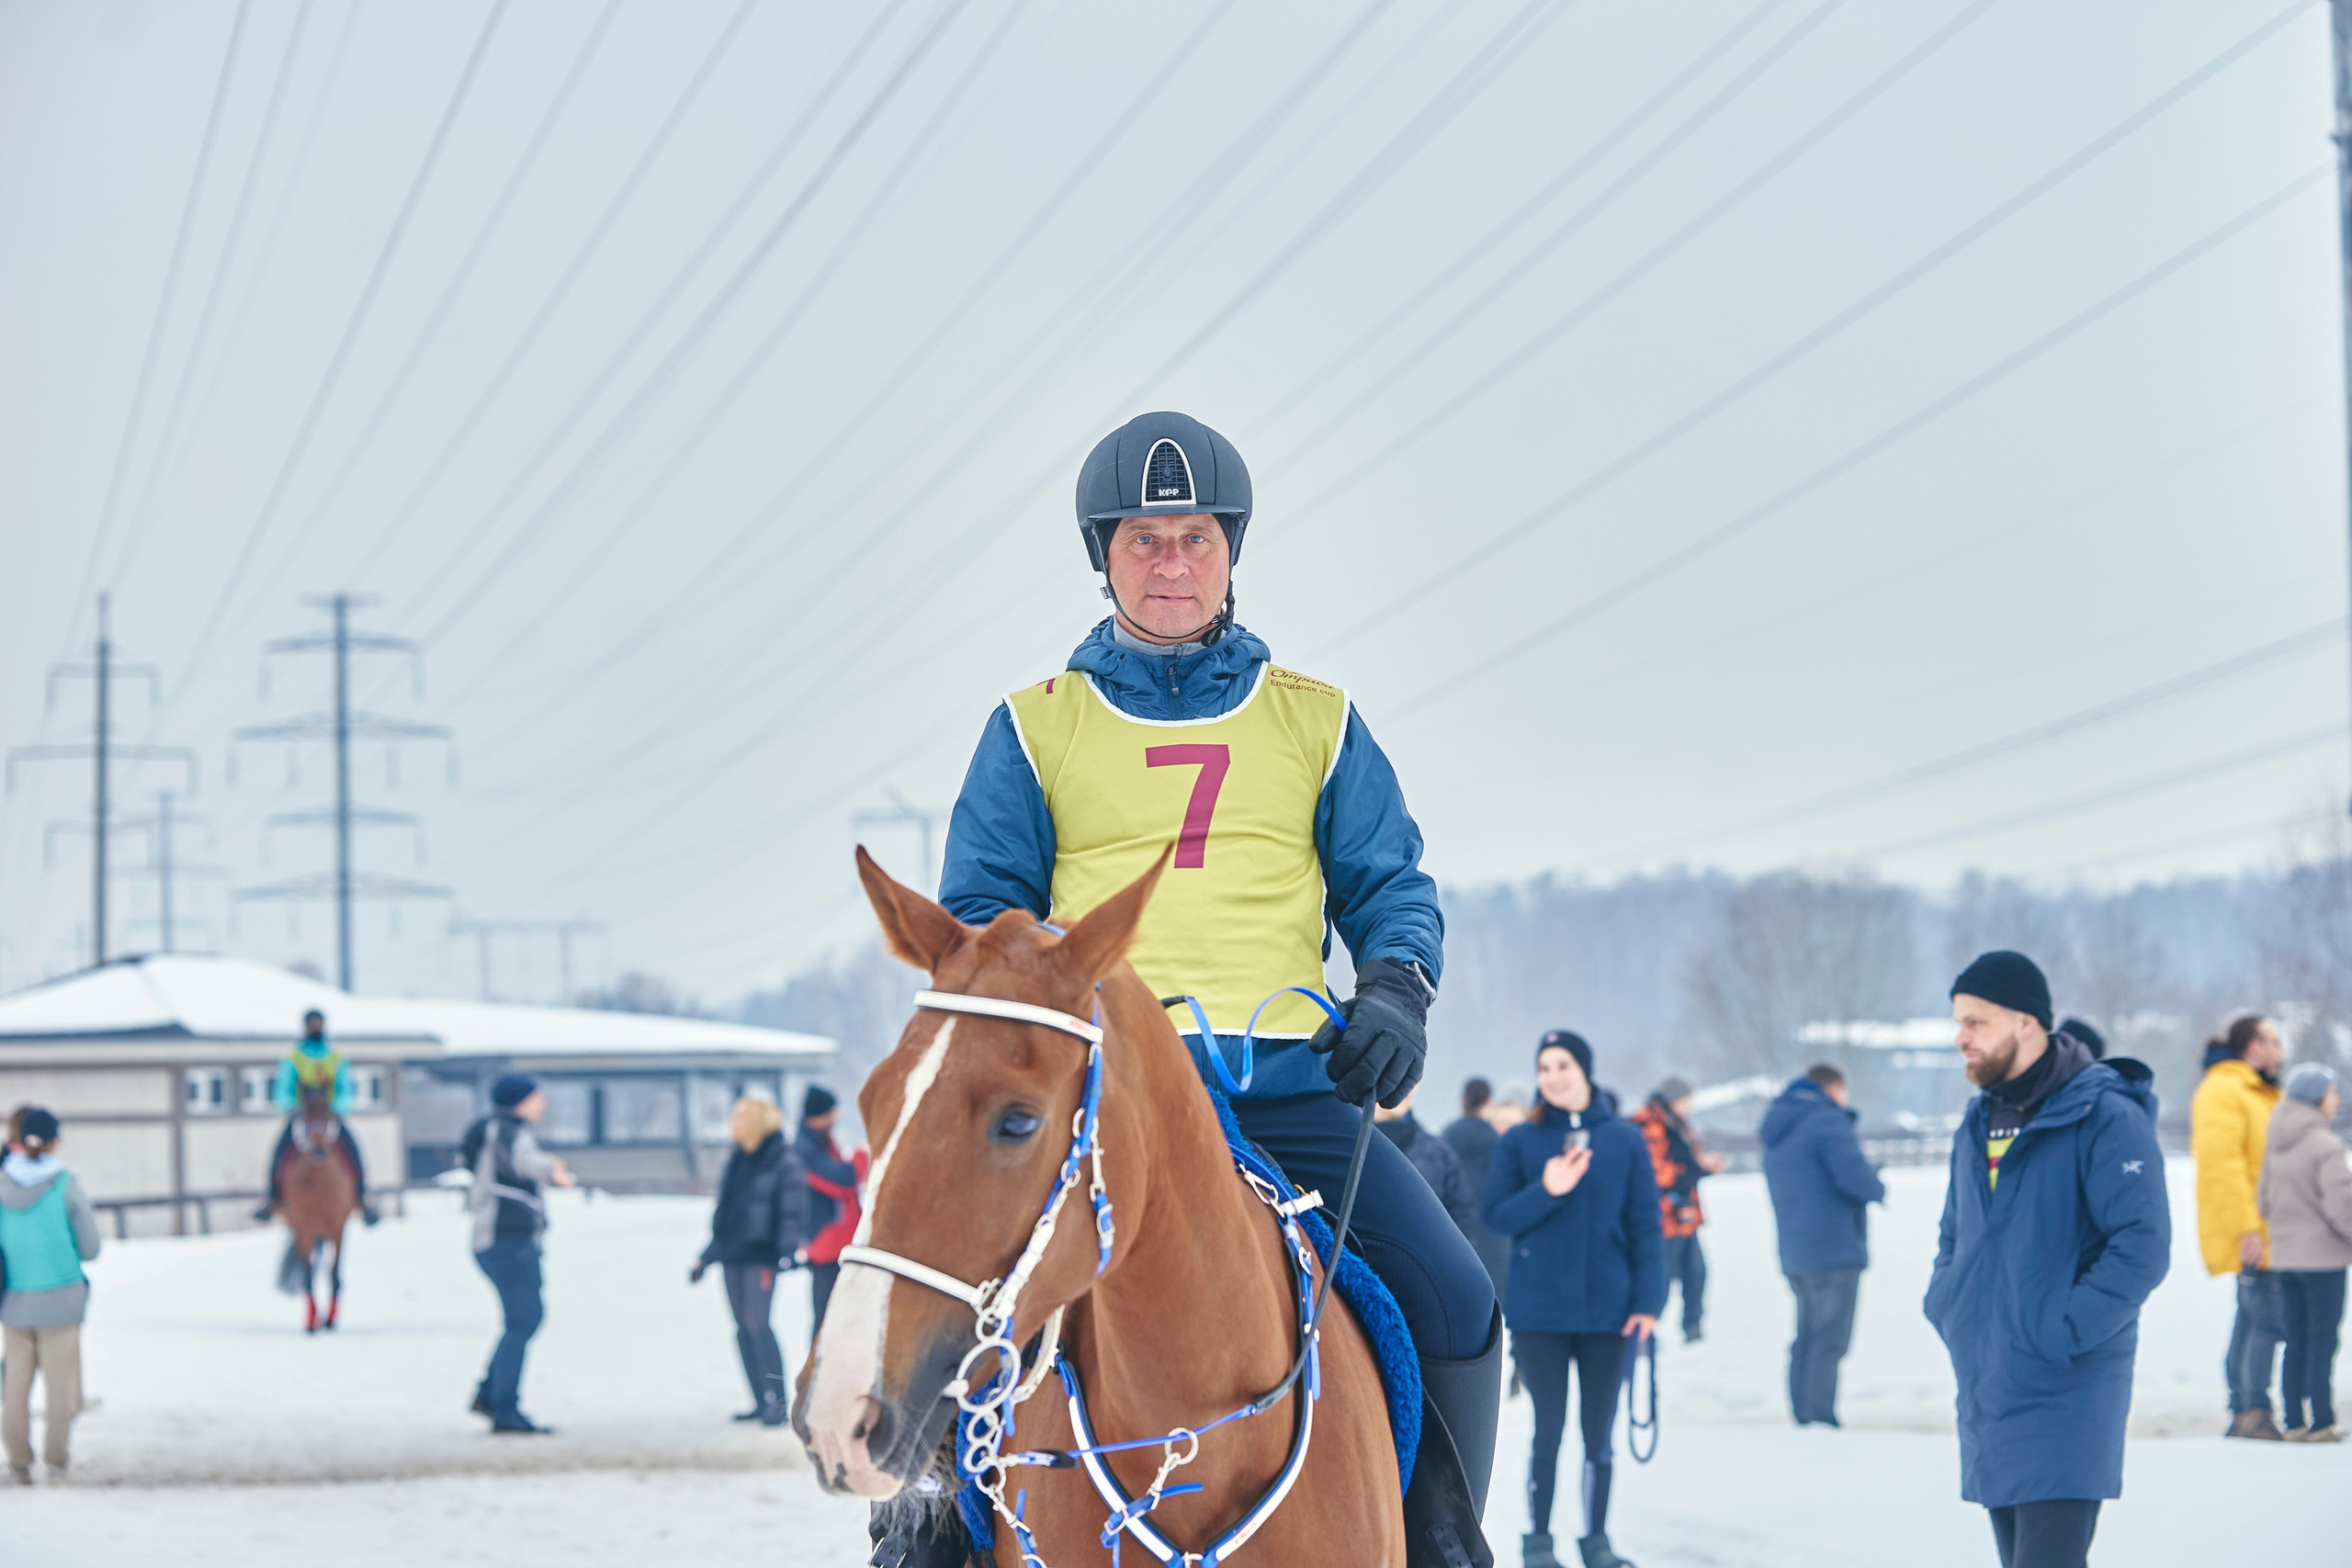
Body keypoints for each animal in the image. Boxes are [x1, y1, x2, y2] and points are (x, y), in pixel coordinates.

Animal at [274, 1081, 357, 1333]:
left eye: (329, 1114)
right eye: (305, 1115)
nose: (318, 1148)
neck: (319, 1181)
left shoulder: (338, 1226)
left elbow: (334, 1274)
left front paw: (330, 1320)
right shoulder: (302, 1227)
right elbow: (307, 1275)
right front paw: (312, 1322)